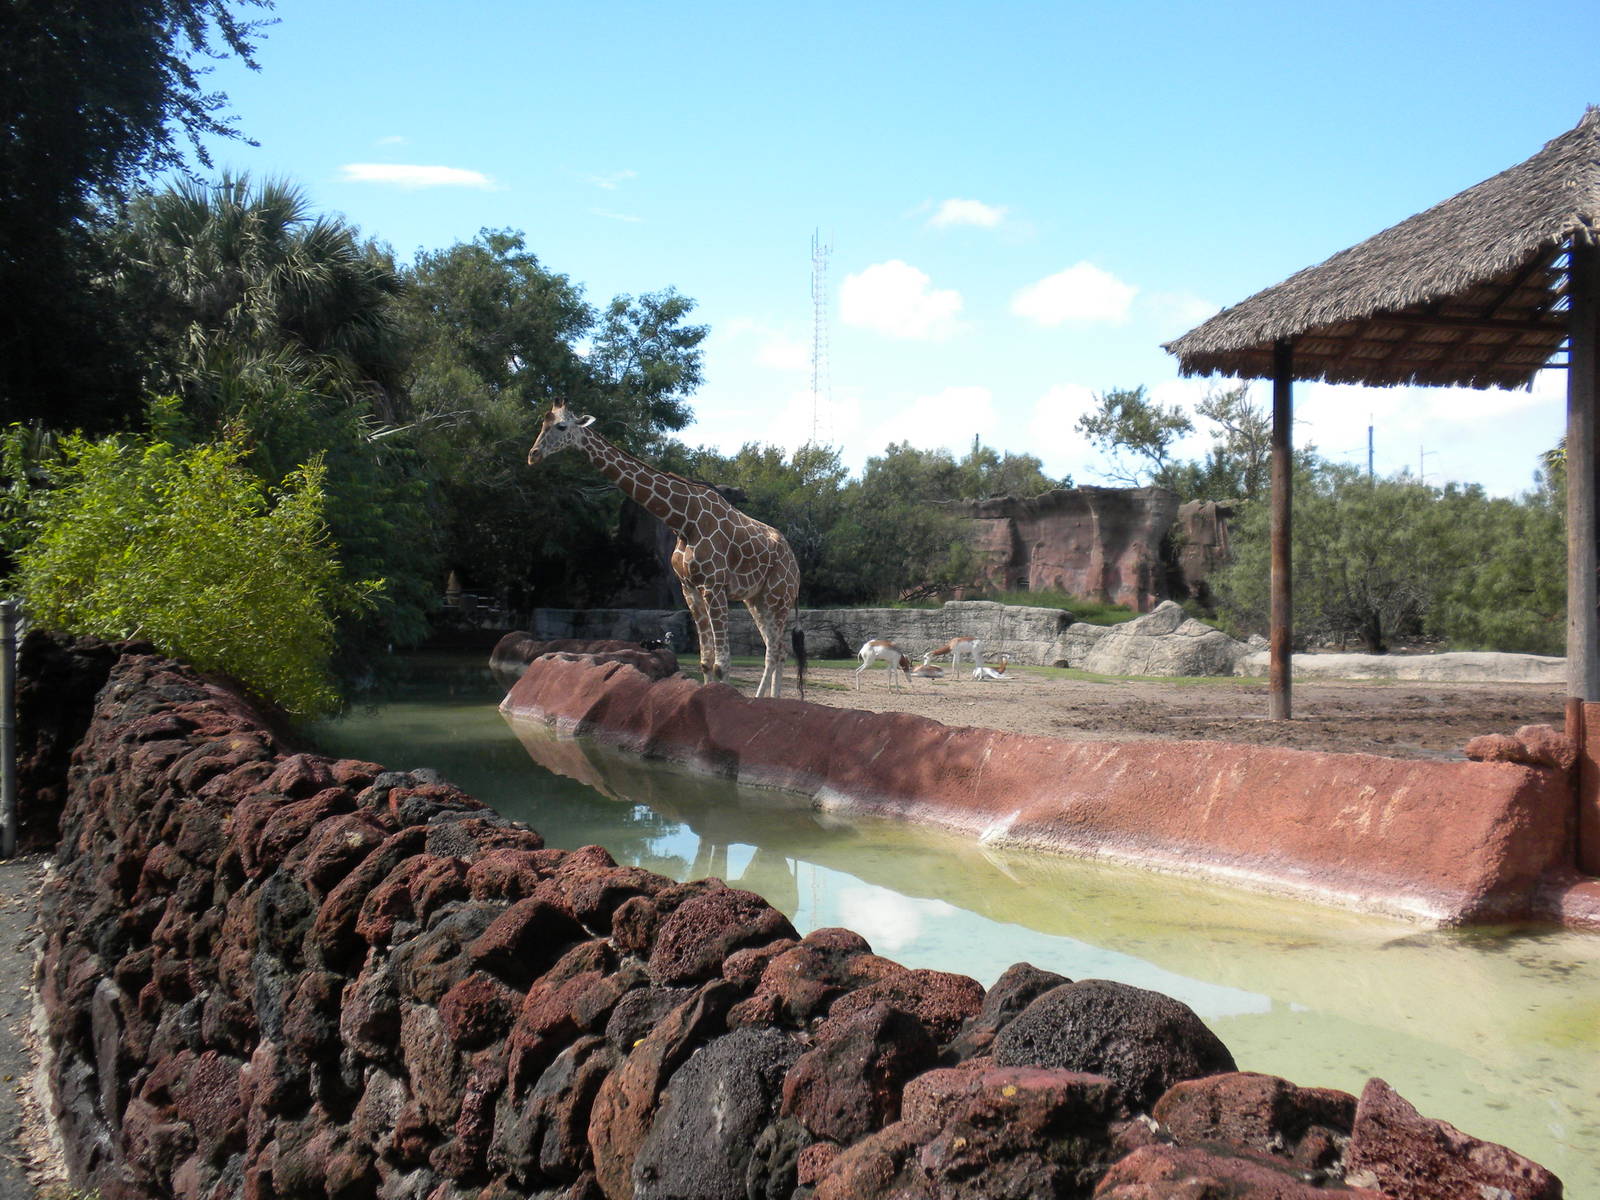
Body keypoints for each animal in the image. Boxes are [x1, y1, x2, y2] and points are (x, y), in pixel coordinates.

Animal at [527, 403, 801, 698]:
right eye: (542, 424)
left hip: (778, 597)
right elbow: (706, 662)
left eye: (561, 426)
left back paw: (768, 700)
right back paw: (768, 699)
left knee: (776, 650)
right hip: (756, 599)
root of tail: (794, 561)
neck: (683, 520)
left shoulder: (714, 587)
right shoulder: (690, 589)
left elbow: (721, 663)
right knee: (776, 648)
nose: (533, 455)